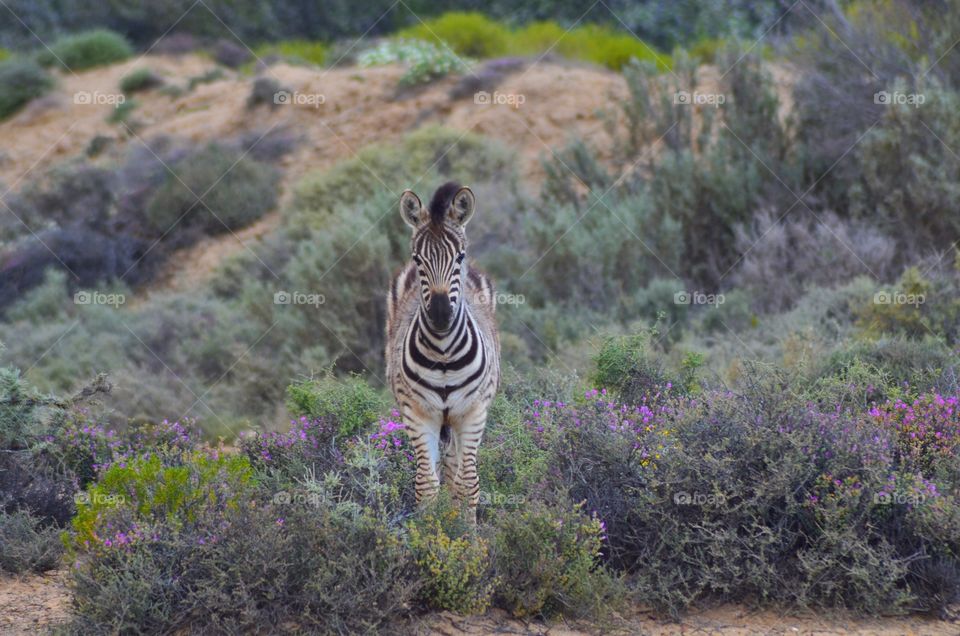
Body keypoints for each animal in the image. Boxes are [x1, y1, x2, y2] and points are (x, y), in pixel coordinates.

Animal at [384, 181, 498, 520]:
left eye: (459, 256)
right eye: (417, 258)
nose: (439, 315)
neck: (445, 354)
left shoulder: (473, 411)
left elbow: (469, 484)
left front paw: (468, 534)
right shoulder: (417, 413)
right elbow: (425, 486)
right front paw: (429, 531)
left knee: (455, 469)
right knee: (439, 469)